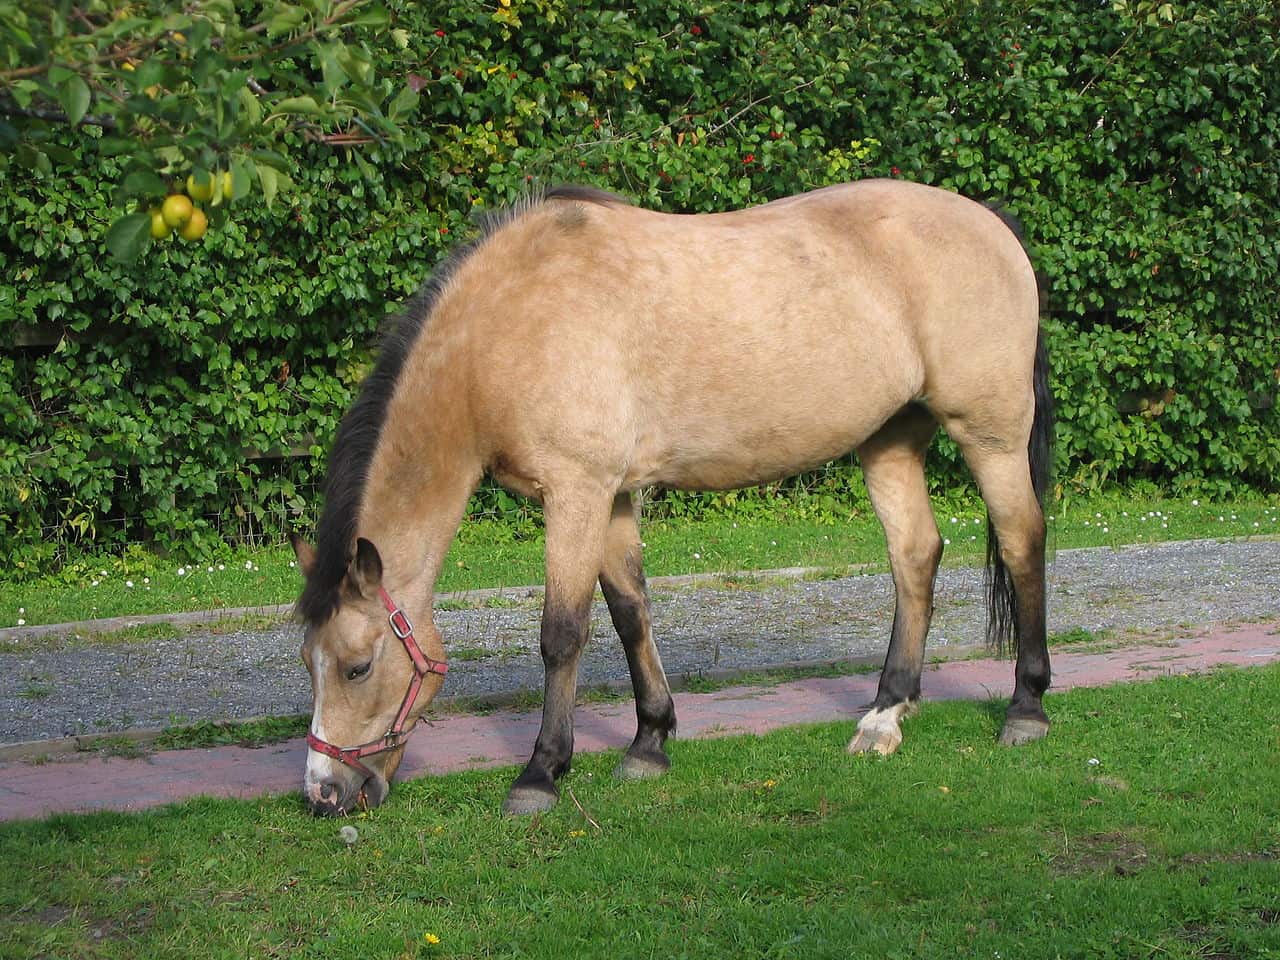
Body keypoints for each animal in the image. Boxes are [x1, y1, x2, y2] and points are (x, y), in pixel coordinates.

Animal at [291, 179, 1053, 817]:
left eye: (358, 666)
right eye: (308, 665)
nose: (324, 795)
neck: (507, 325)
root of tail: (992, 224)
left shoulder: (576, 490)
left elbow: (562, 632)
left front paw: (542, 772)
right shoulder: (612, 496)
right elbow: (631, 612)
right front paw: (649, 743)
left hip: (990, 435)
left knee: (1022, 541)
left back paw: (1026, 709)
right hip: (889, 440)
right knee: (915, 556)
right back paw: (885, 716)